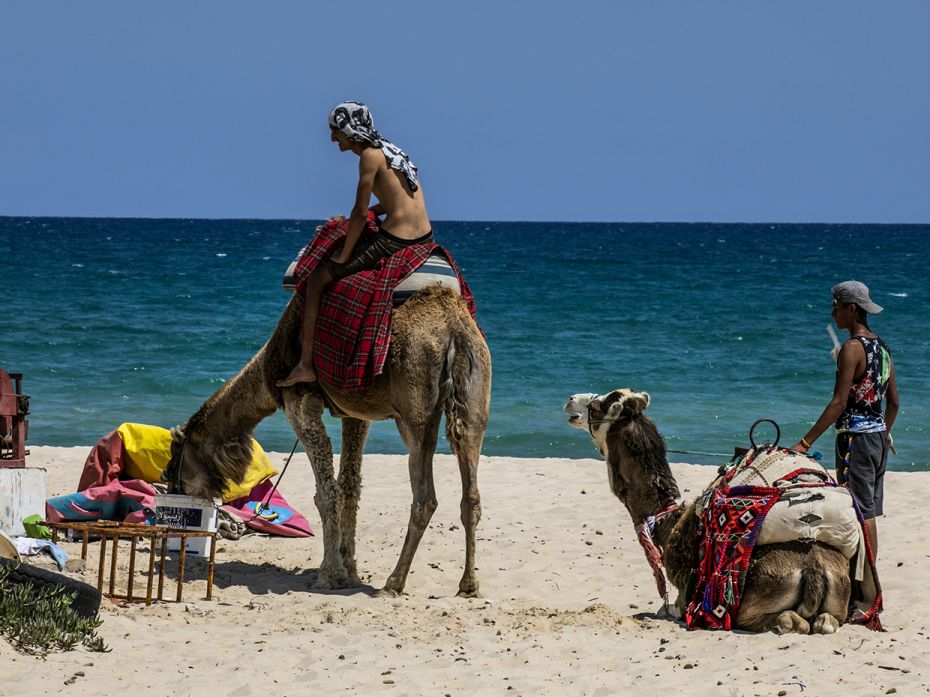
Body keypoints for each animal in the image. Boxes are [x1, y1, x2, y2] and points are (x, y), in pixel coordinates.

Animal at [165, 286, 492, 596]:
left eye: (175, 461)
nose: (173, 491)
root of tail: (456, 333)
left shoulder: (299, 401)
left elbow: (326, 492)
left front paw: (330, 574)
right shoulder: (356, 414)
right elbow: (349, 486)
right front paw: (349, 567)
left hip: (416, 406)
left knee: (425, 496)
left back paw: (393, 584)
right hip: (475, 398)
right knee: (471, 493)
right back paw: (468, 585)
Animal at [560, 388, 852, 632]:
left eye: (598, 405)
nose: (571, 400)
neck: (669, 522)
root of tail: (814, 571)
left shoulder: (682, 598)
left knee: (790, 621)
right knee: (826, 621)